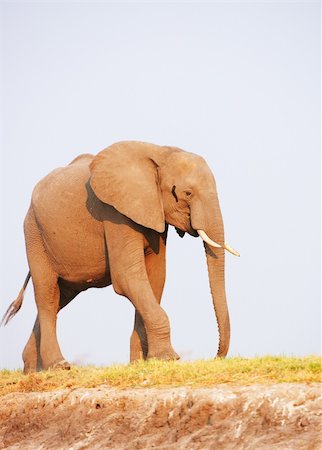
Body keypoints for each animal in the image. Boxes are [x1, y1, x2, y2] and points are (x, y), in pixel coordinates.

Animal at [1, 142, 239, 372]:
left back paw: (32, 369)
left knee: (62, 296)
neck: (160, 153)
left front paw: (142, 363)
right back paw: (58, 366)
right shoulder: (115, 213)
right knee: (48, 295)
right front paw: (168, 359)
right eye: (188, 193)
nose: (216, 356)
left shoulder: (153, 214)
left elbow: (155, 279)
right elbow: (128, 278)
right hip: (34, 234)